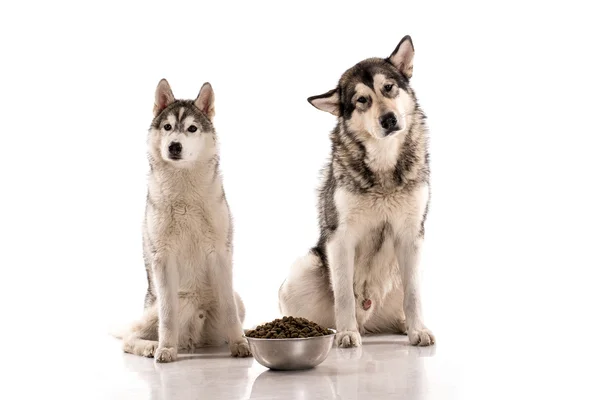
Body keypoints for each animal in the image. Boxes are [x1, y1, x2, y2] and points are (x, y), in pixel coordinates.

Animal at [120, 79, 252, 362]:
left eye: (192, 128)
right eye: (168, 127)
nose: (174, 146)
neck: (184, 194)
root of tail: (193, 339)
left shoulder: (220, 254)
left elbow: (229, 310)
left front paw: (240, 344)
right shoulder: (163, 258)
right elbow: (167, 317)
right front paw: (165, 349)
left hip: (237, 302)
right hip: (158, 306)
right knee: (130, 337)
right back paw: (150, 346)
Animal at [278, 34, 436, 346]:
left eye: (388, 87)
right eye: (362, 100)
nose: (389, 119)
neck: (384, 164)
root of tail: (370, 322)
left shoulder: (411, 235)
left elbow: (414, 296)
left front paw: (418, 331)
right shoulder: (340, 238)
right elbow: (343, 295)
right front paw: (347, 333)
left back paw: (404, 324)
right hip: (304, 269)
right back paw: (334, 330)